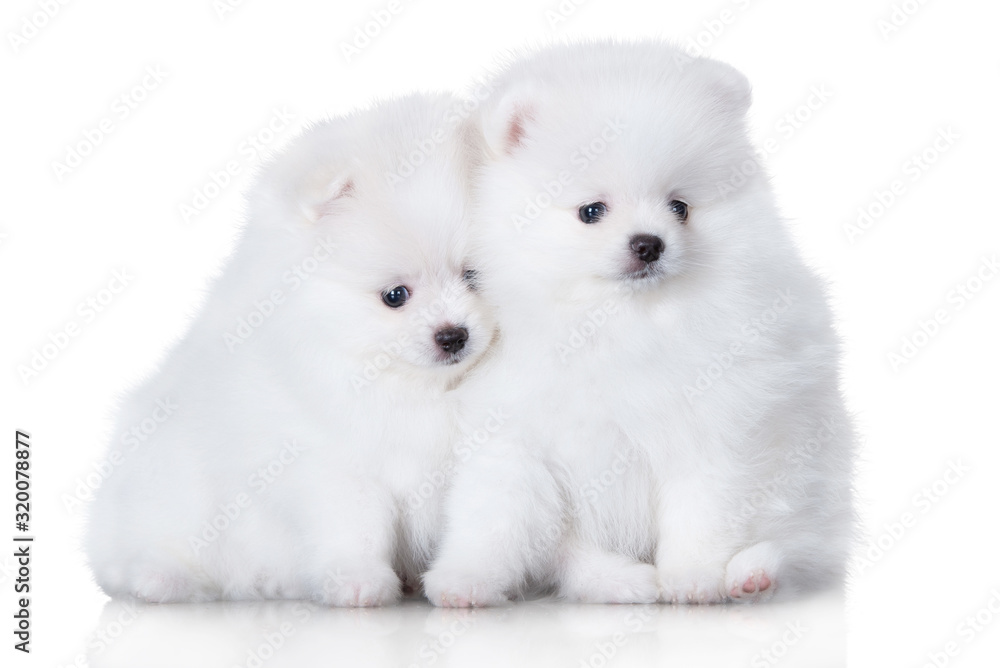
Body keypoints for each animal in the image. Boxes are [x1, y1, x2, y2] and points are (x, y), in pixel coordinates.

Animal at [85, 91, 492, 608]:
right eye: (395, 296)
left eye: (473, 276)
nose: (453, 335)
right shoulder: (326, 460)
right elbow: (353, 525)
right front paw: (358, 581)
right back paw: (160, 578)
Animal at [426, 40, 856, 604]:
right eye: (591, 211)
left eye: (680, 207)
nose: (649, 243)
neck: (615, 322)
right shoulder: (515, 434)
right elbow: (491, 514)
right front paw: (464, 581)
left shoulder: (714, 423)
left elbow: (702, 510)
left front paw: (692, 576)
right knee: (572, 560)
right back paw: (621, 580)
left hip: (807, 473)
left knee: (798, 544)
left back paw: (751, 575)